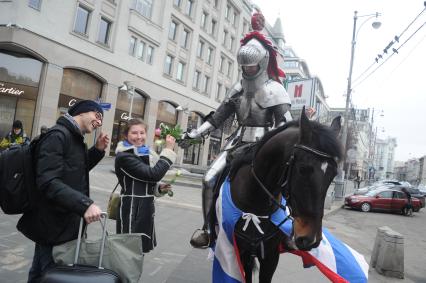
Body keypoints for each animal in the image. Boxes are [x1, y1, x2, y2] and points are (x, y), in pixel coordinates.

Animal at [228, 110, 342, 282]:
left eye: (333, 174)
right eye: (303, 169)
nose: (311, 240)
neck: (255, 206)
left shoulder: (270, 257)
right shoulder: (241, 254)